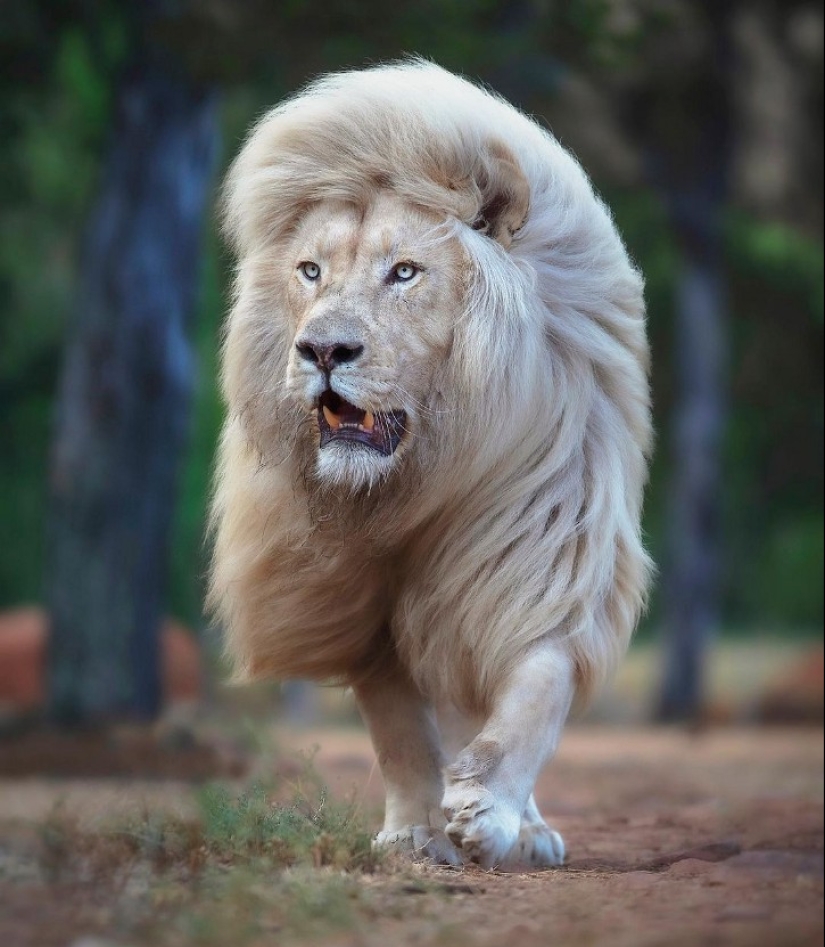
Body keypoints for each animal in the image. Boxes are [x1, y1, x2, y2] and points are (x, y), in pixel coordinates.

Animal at [208, 61, 652, 869]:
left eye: (405, 272)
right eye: (310, 271)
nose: (322, 349)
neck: (417, 480)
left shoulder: (544, 551)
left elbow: (536, 689)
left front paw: (490, 813)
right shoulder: (351, 597)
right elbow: (399, 729)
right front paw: (417, 831)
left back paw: (527, 831)